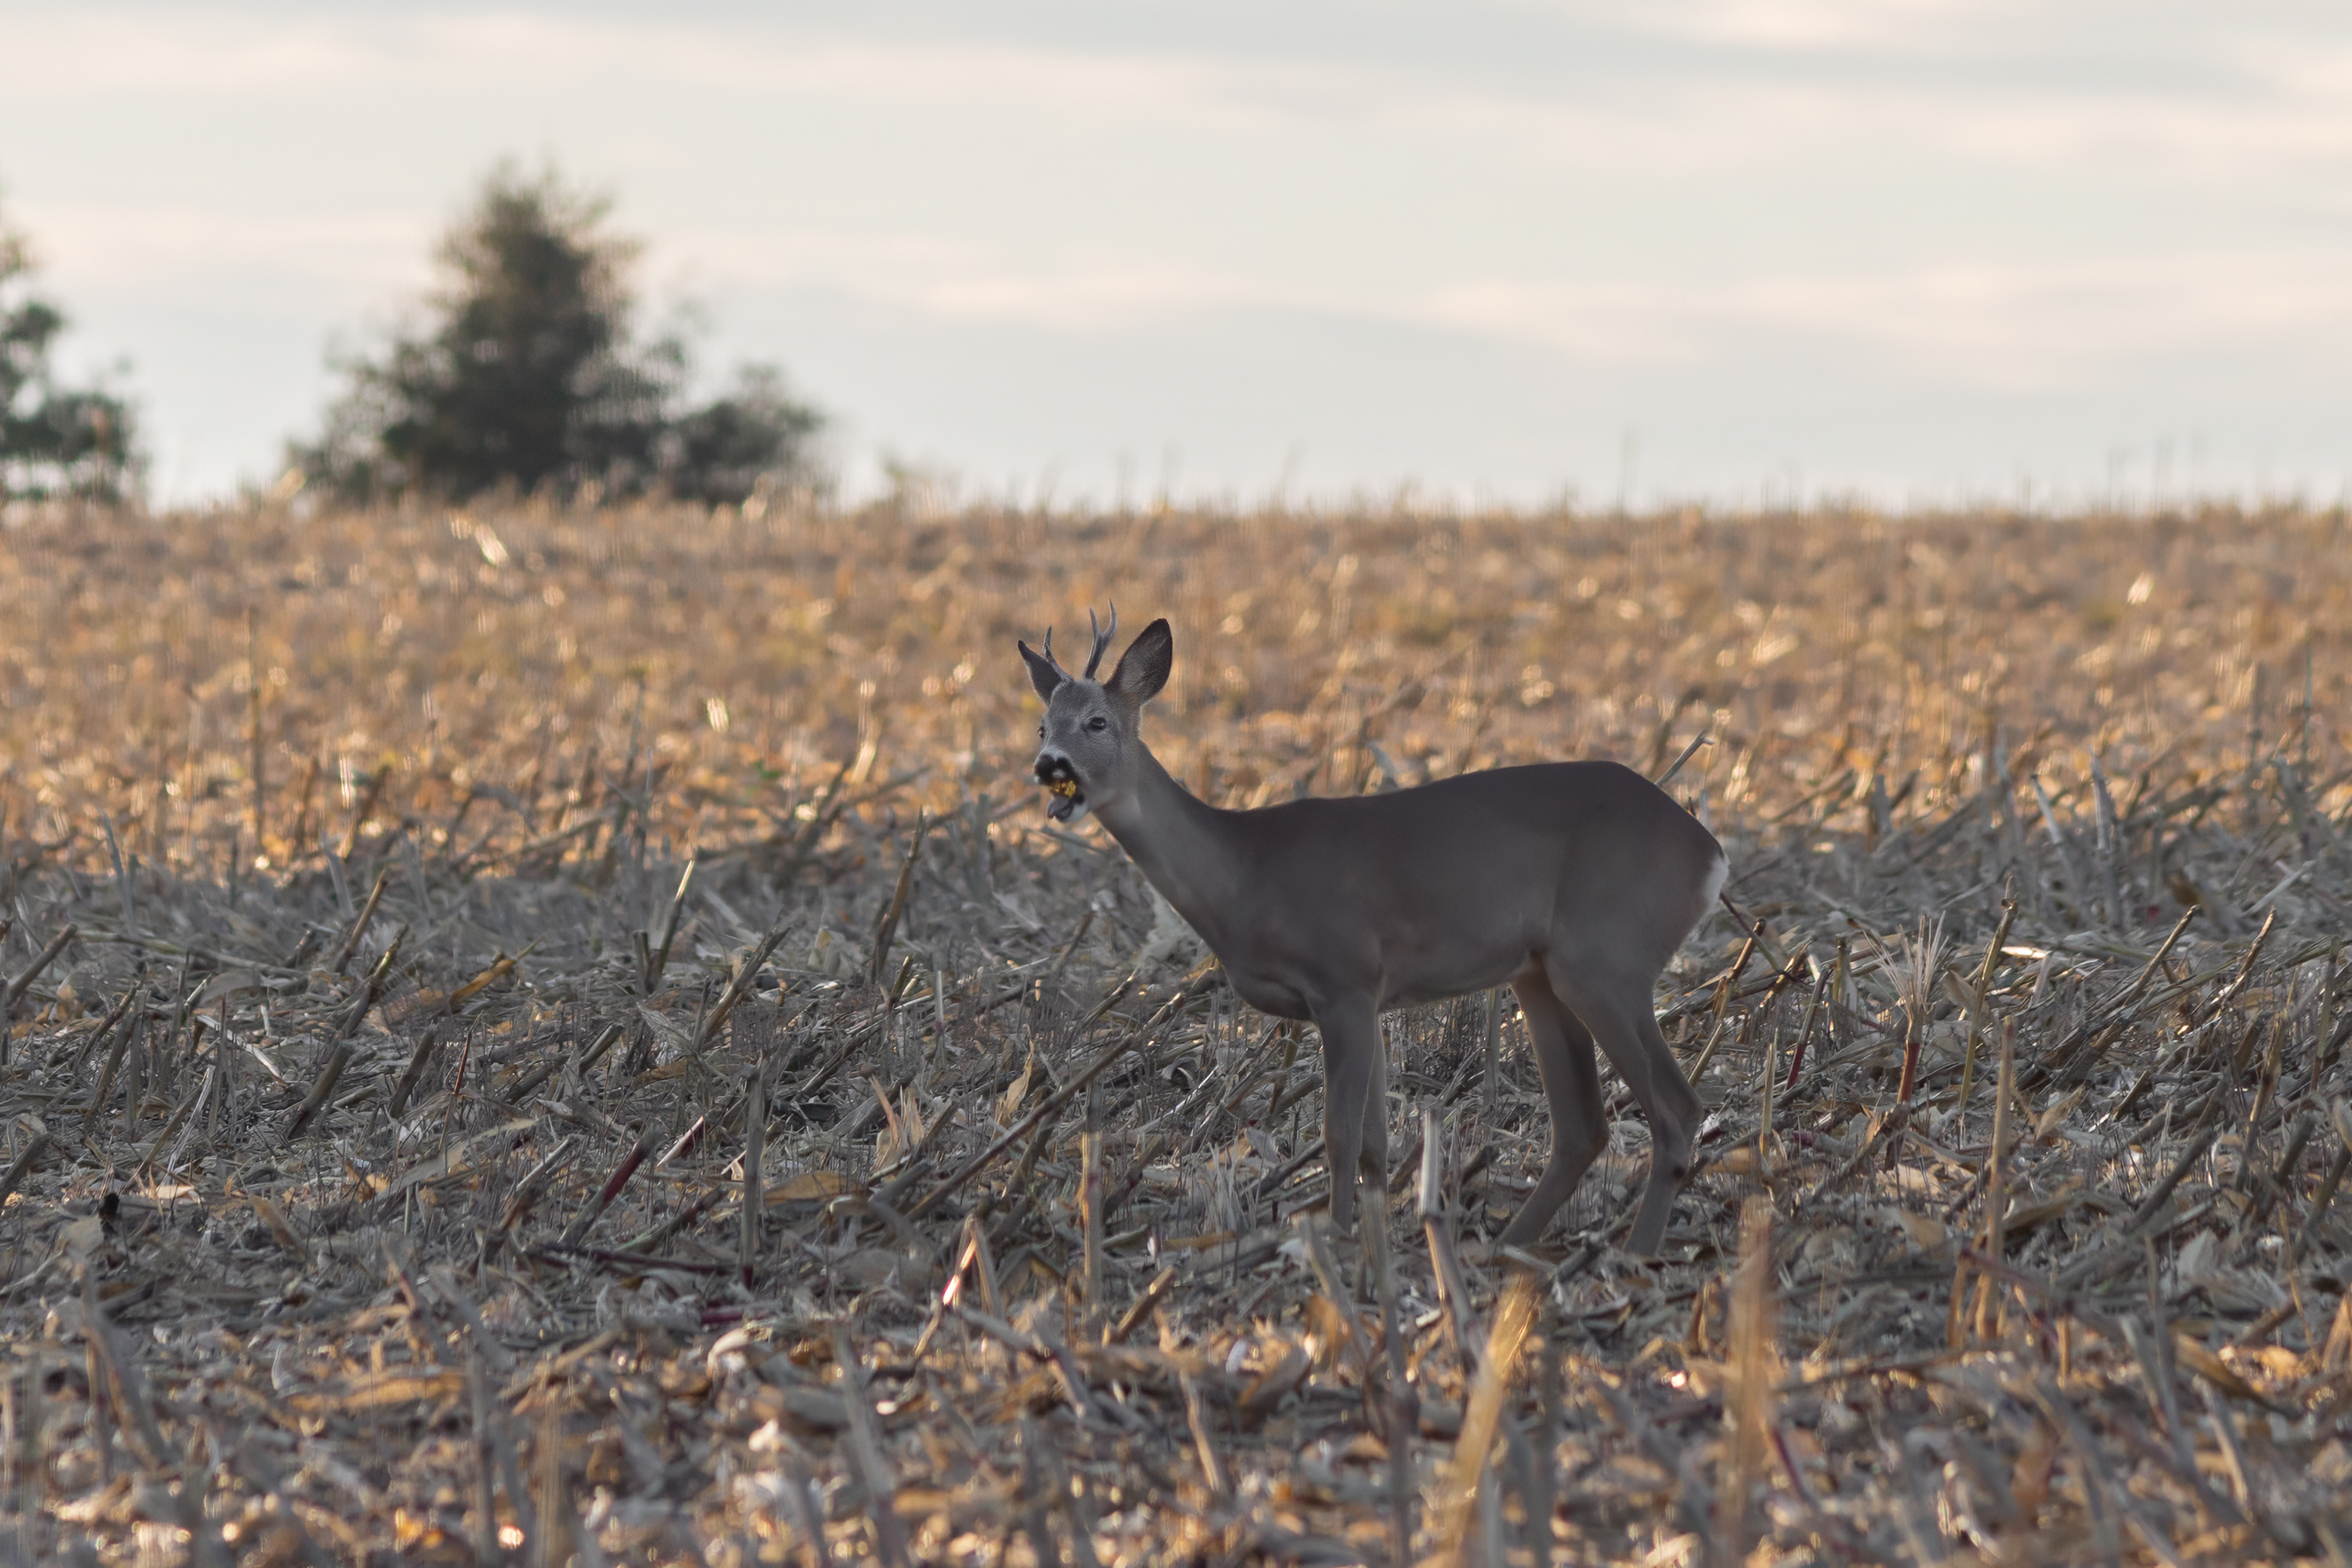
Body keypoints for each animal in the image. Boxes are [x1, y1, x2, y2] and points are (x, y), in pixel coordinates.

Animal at [1015, 606, 1731, 1259]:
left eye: (1097, 721)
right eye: (1043, 723)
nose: (1048, 764)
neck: (1244, 874)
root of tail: (1708, 850)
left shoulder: (1345, 979)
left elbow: (1340, 1135)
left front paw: (1329, 1240)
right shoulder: (1371, 998)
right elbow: (1375, 1144)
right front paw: (1376, 1240)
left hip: (1605, 955)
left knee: (1676, 1108)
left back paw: (1633, 1255)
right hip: (1542, 972)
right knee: (1583, 1126)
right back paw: (1505, 1249)